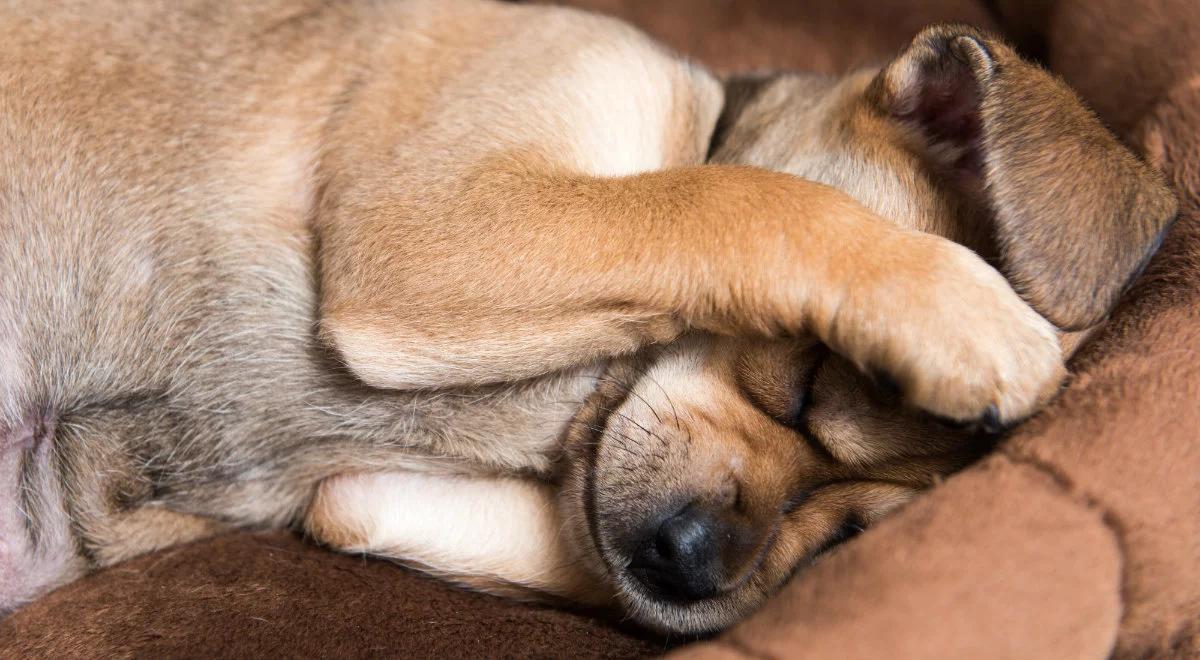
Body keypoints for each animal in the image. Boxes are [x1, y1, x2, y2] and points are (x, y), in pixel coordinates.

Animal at [0, 0, 1171, 643]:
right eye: (809, 378)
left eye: (850, 539)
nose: (693, 566)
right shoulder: (432, 226)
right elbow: (731, 199)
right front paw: (962, 309)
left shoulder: (368, 497)